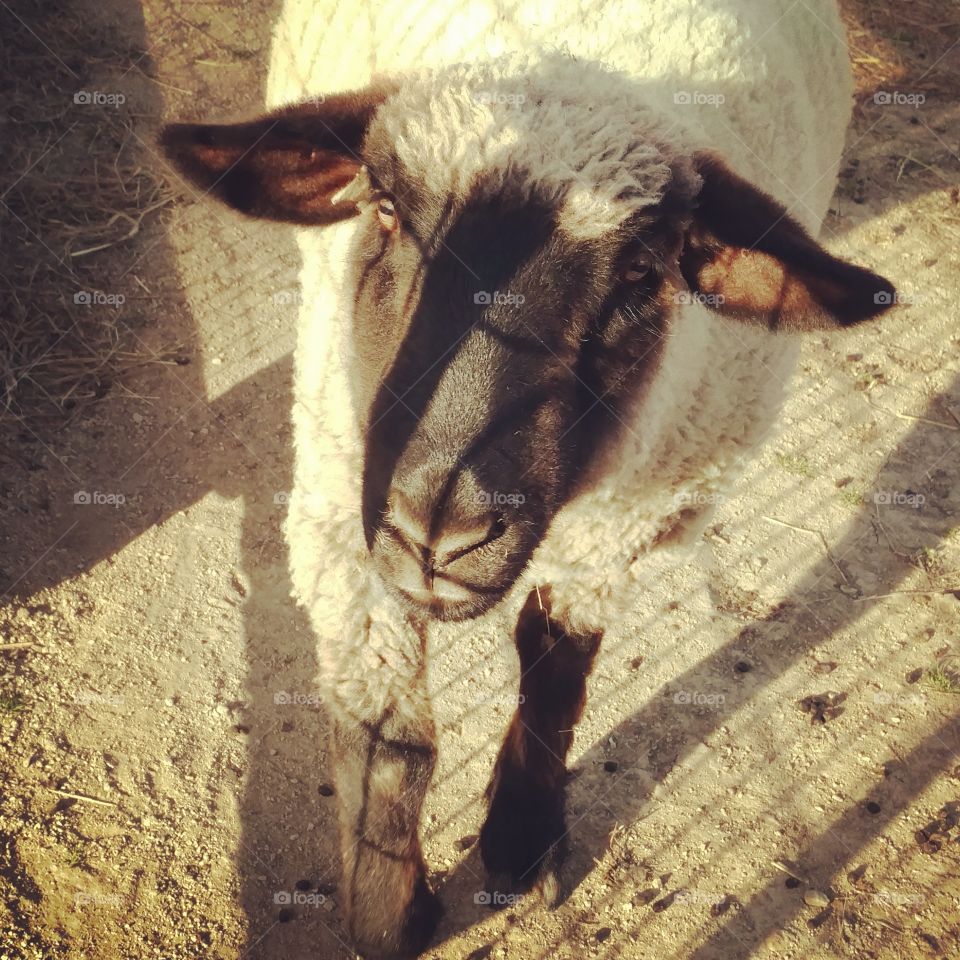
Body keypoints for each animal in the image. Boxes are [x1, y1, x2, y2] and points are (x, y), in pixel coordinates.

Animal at [161, 0, 895, 955]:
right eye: (385, 210)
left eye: (642, 272)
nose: (437, 529)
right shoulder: (340, 526)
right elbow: (394, 740)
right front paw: (390, 915)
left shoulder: (616, 534)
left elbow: (554, 673)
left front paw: (519, 841)